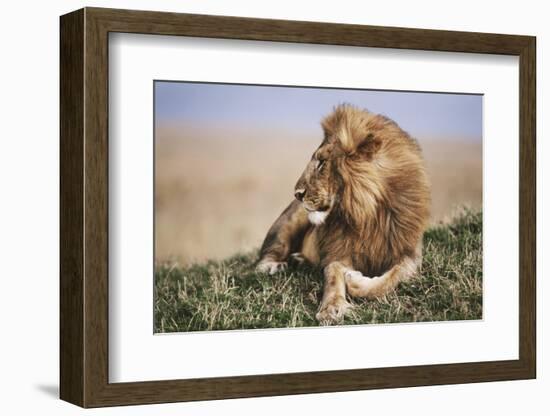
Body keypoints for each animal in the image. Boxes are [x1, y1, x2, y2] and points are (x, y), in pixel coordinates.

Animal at [256, 105, 434, 324]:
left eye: (322, 162)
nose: (297, 194)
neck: (366, 215)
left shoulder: (409, 253)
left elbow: (392, 278)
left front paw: (355, 281)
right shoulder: (339, 251)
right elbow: (333, 274)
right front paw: (332, 308)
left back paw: (300, 261)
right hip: (289, 222)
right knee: (265, 256)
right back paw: (275, 266)